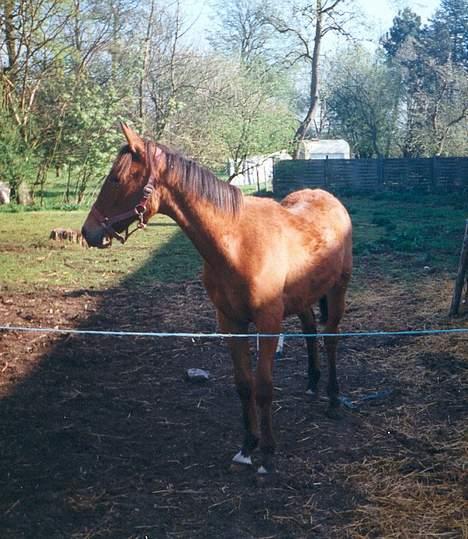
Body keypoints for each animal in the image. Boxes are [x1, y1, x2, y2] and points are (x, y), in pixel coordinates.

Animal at [82, 124, 352, 478]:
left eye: (115, 178)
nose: (87, 232)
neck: (236, 243)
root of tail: (328, 198)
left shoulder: (267, 322)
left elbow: (263, 387)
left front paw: (267, 453)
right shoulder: (230, 321)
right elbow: (244, 385)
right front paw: (247, 447)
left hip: (337, 289)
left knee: (331, 338)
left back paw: (333, 399)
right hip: (303, 295)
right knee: (310, 330)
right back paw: (312, 382)